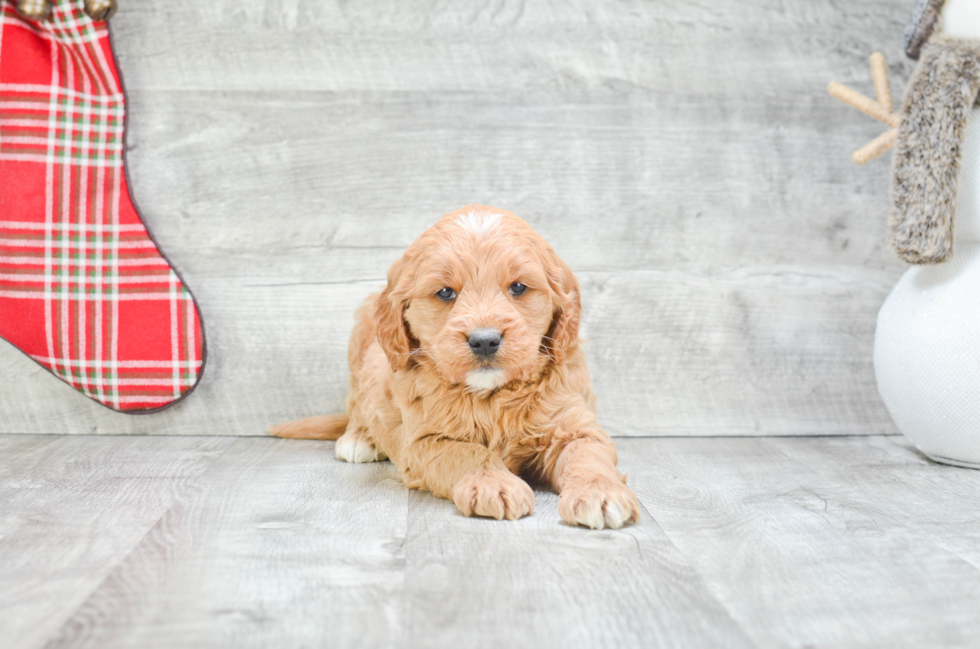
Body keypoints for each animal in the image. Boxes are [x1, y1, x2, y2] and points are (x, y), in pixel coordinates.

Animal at [274, 205, 644, 528]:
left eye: (518, 287)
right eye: (445, 293)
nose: (485, 340)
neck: (491, 395)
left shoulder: (574, 423)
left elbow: (588, 453)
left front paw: (600, 492)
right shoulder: (424, 440)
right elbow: (467, 452)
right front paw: (494, 484)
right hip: (361, 342)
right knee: (356, 403)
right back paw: (359, 438)